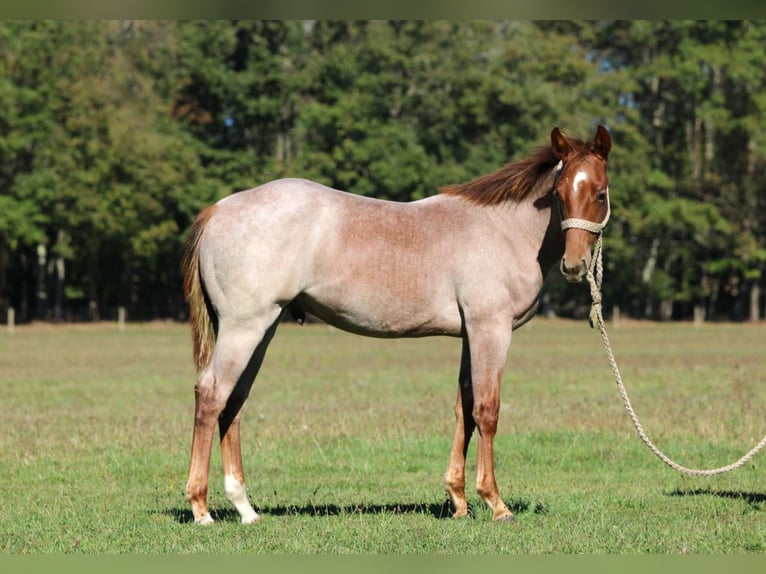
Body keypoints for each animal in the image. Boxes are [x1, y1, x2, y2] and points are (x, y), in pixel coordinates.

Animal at [181, 124, 612, 524]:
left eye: (600, 193)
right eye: (559, 193)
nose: (574, 266)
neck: (502, 229)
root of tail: (219, 209)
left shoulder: (470, 334)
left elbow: (464, 408)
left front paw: (458, 501)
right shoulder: (491, 329)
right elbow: (486, 411)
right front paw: (495, 503)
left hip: (262, 328)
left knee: (234, 402)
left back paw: (244, 508)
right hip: (245, 328)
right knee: (212, 395)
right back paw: (201, 508)